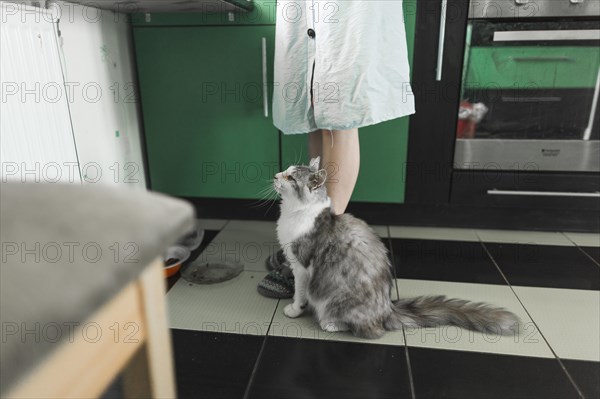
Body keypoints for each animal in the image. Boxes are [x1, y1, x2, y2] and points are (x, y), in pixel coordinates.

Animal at [274, 158, 520, 340]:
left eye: (290, 177)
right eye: (285, 170)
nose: (276, 175)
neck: (294, 213)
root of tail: (387, 309)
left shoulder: (301, 267)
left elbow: (300, 293)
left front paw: (294, 309)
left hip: (334, 302)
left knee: (369, 331)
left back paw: (331, 324)